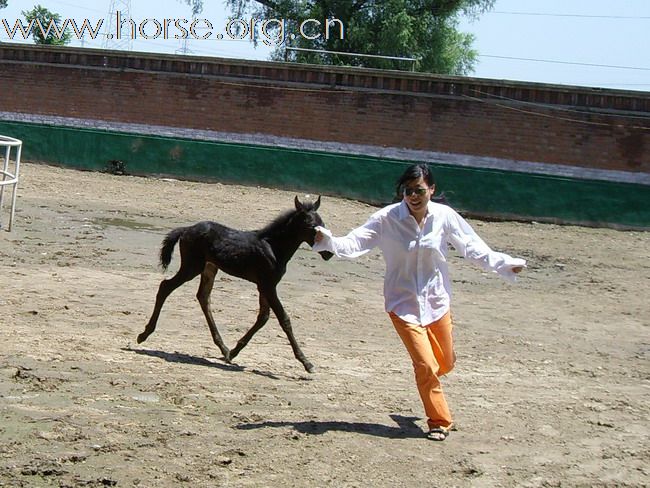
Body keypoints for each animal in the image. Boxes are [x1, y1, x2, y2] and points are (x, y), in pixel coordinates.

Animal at [135, 196, 330, 372]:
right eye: (311, 226)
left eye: (323, 223)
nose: (328, 254)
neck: (274, 247)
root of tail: (186, 229)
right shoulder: (268, 285)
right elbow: (284, 319)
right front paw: (307, 363)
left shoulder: (264, 286)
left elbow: (263, 317)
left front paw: (234, 352)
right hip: (192, 266)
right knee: (166, 287)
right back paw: (144, 334)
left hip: (209, 268)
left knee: (203, 297)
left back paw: (224, 348)